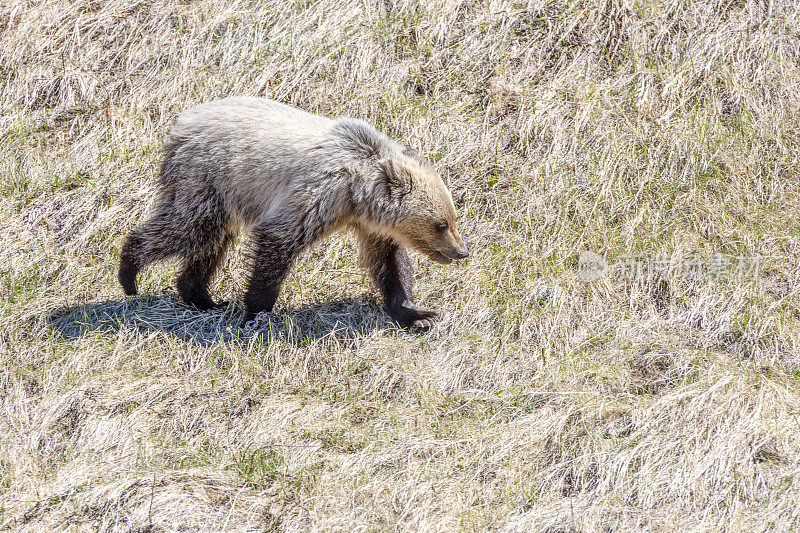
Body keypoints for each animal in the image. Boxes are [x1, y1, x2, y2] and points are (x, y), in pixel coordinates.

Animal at [119, 96, 468, 328]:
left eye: (453, 219)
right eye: (441, 224)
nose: (462, 251)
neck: (357, 193)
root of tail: (180, 124)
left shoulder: (371, 224)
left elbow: (389, 263)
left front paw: (417, 313)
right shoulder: (316, 196)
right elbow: (277, 243)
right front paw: (256, 311)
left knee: (210, 242)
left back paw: (203, 297)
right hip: (207, 178)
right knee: (187, 229)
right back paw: (129, 273)